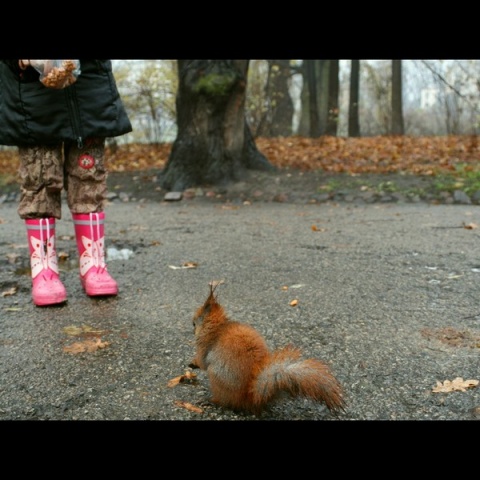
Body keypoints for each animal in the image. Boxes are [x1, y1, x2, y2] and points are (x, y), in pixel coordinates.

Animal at [188, 284, 344, 414]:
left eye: (195, 321)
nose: (192, 326)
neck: (217, 326)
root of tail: (250, 397)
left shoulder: (204, 345)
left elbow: (202, 362)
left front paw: (193, 363)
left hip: (217, 377)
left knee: (224, 402)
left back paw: (210, 401)